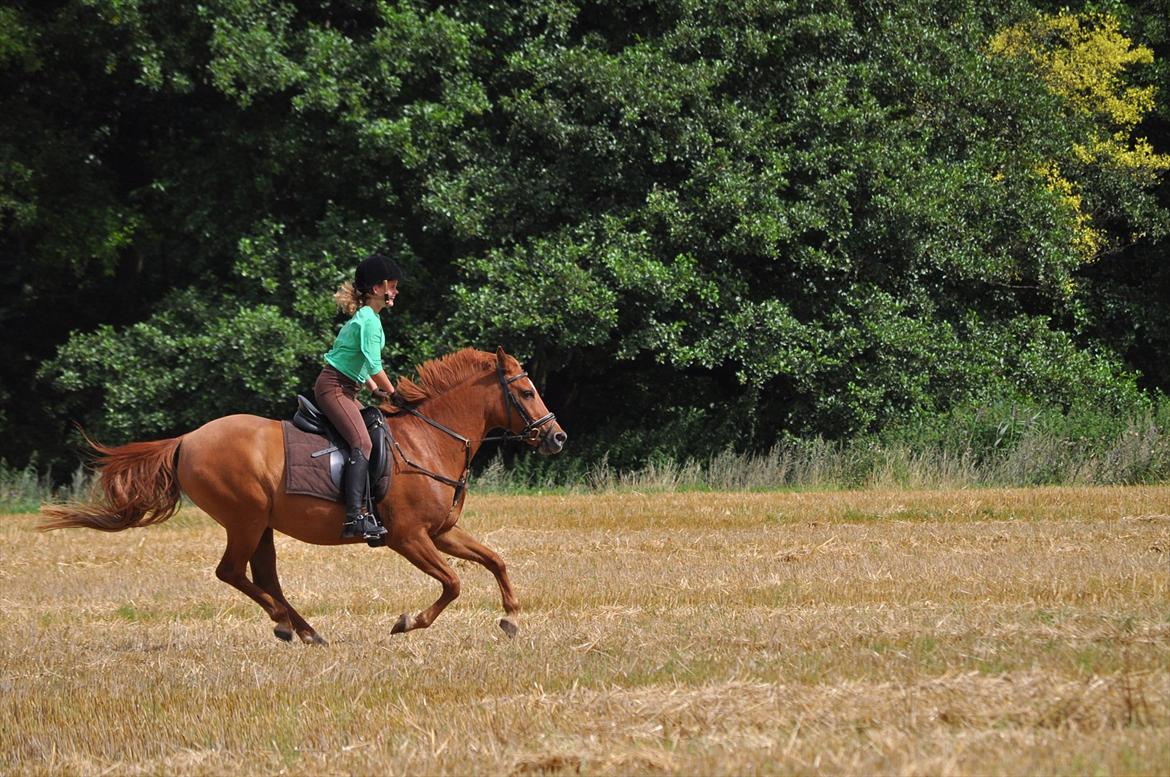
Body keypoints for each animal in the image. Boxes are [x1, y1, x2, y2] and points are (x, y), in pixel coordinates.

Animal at [37, 346, 566, 641]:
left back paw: (306, 630)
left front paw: (511, 620)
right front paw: (407, 623)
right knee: (233, 573)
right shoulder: (408, 538)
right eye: (526, 392)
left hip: (262, 525)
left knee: (264, 577)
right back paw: (285, 624)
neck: (429, 439)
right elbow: (453, 584)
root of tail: (188, 439)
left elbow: (495, 560)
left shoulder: (441, 533)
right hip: (245, 518)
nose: (557, 437)